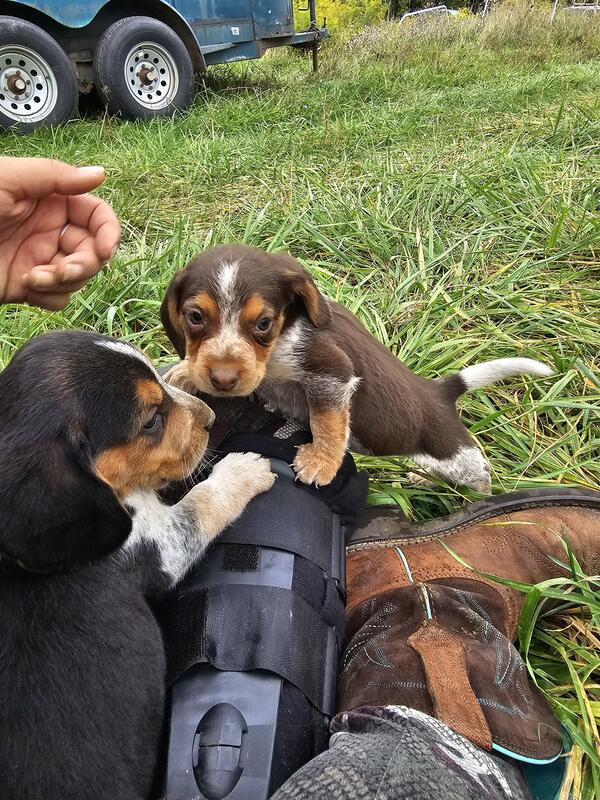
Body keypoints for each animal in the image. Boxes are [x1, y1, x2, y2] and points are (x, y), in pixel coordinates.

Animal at [161, 244, 552, 491]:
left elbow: (328, 421)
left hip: (457, 456)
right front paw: (183, 372)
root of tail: (438, 390)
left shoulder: (332, 373)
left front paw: (322, 461)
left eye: (263, 323)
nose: (222, 380)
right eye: (195, 317)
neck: (282, 339)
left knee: (480, 477)